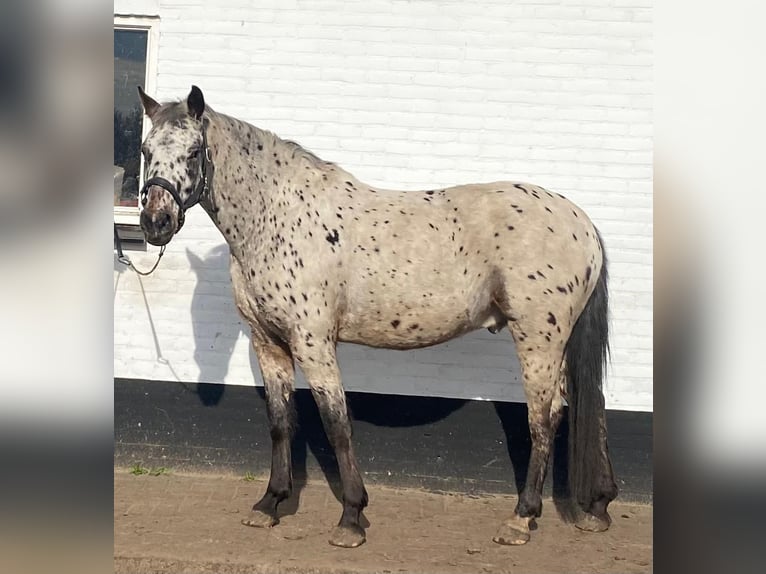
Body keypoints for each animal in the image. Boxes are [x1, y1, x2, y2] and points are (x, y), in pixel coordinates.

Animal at [136, 84, 616, 548]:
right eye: (145, 150)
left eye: (193, 151)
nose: (156, 222)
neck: (276, 218)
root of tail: (582, 223)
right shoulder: (268, 343)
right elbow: (280, 422)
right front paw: (270, 504)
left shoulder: (313, 342)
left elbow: (336, 424)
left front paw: (351, 518)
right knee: (580, 407)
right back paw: (596, 507)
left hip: (538, 340)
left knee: (544, 418)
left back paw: (521, 520)